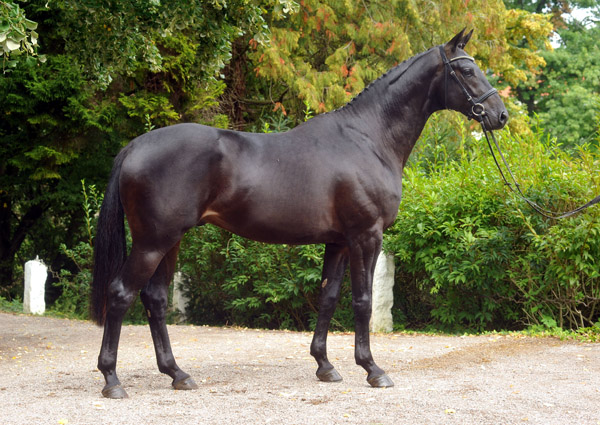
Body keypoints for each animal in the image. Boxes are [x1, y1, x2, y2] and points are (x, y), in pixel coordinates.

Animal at [92, 29, 506, 398]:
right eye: (466, 70)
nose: (499, 115)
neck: (368, 138)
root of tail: (134, 146)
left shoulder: (339, 243)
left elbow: (328, 297)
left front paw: (325, 366)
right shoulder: (366, 236)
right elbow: (363, 300)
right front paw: (373, 369)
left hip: (170, 241)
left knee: (155, 299)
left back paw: (177, 374)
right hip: (153, 241)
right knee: (121, 294)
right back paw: (112, 380)